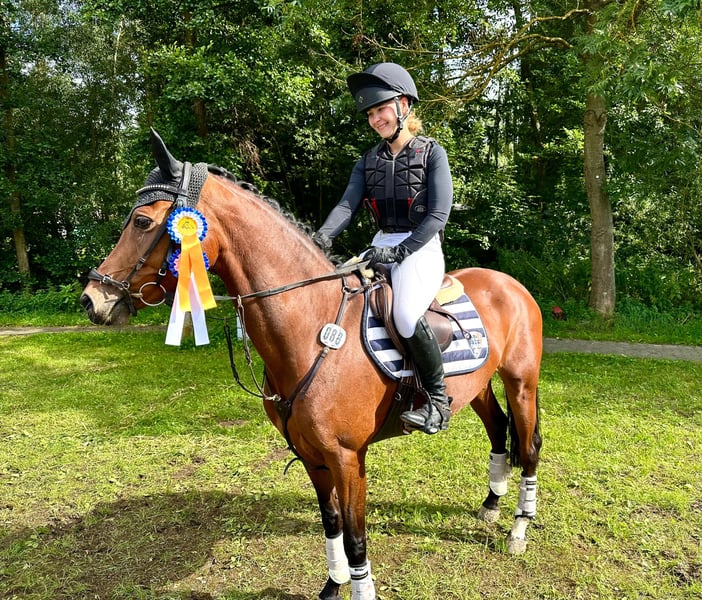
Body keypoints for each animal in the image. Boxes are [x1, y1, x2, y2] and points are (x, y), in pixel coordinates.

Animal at [80, 130, 543, 600]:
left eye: (141, 222)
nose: (92, 300)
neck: (311, 327)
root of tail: (509, 283)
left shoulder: (347, 458)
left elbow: (355, 537)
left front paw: (359, 589)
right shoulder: (309, 454)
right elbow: (332, 523)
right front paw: (333, 587)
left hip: (522, 381)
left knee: (528, 447)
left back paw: (518, 530)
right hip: (476, 387)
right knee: (497, 429)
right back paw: (491, 505)